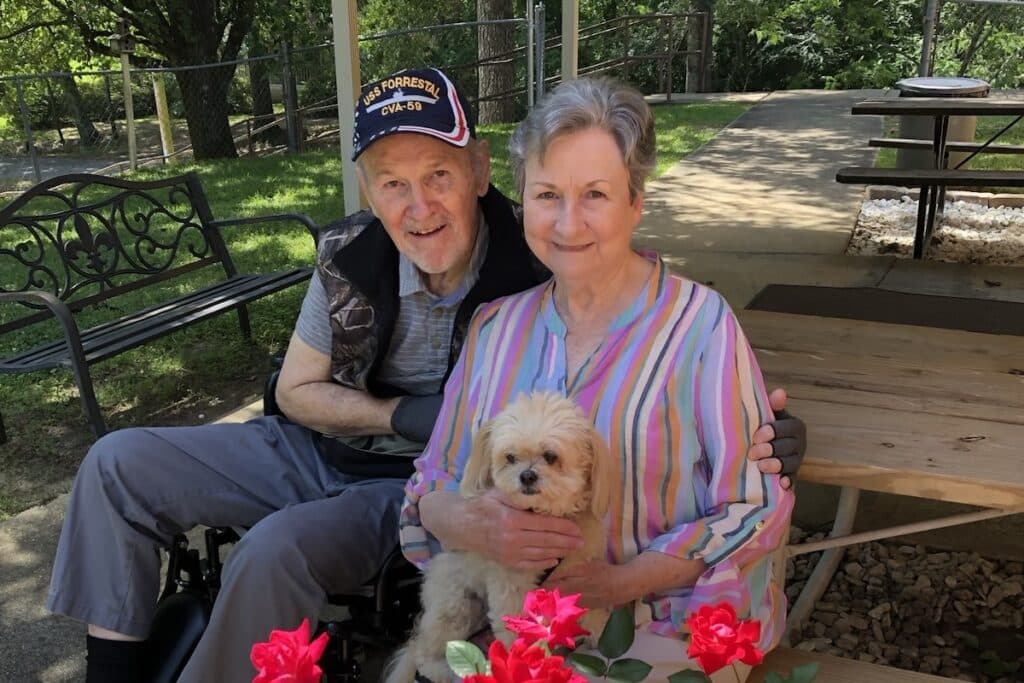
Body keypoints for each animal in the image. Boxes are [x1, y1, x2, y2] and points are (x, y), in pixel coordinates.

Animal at [387, 389, 614, 683]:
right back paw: (442, 670)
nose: (526, 475)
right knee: (423, 654)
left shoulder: (580, 571)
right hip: (455, 607)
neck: (546, 514)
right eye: (510, 457)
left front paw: (598, 625)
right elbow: (516, 627)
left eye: (550, 456)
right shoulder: (511, 586)